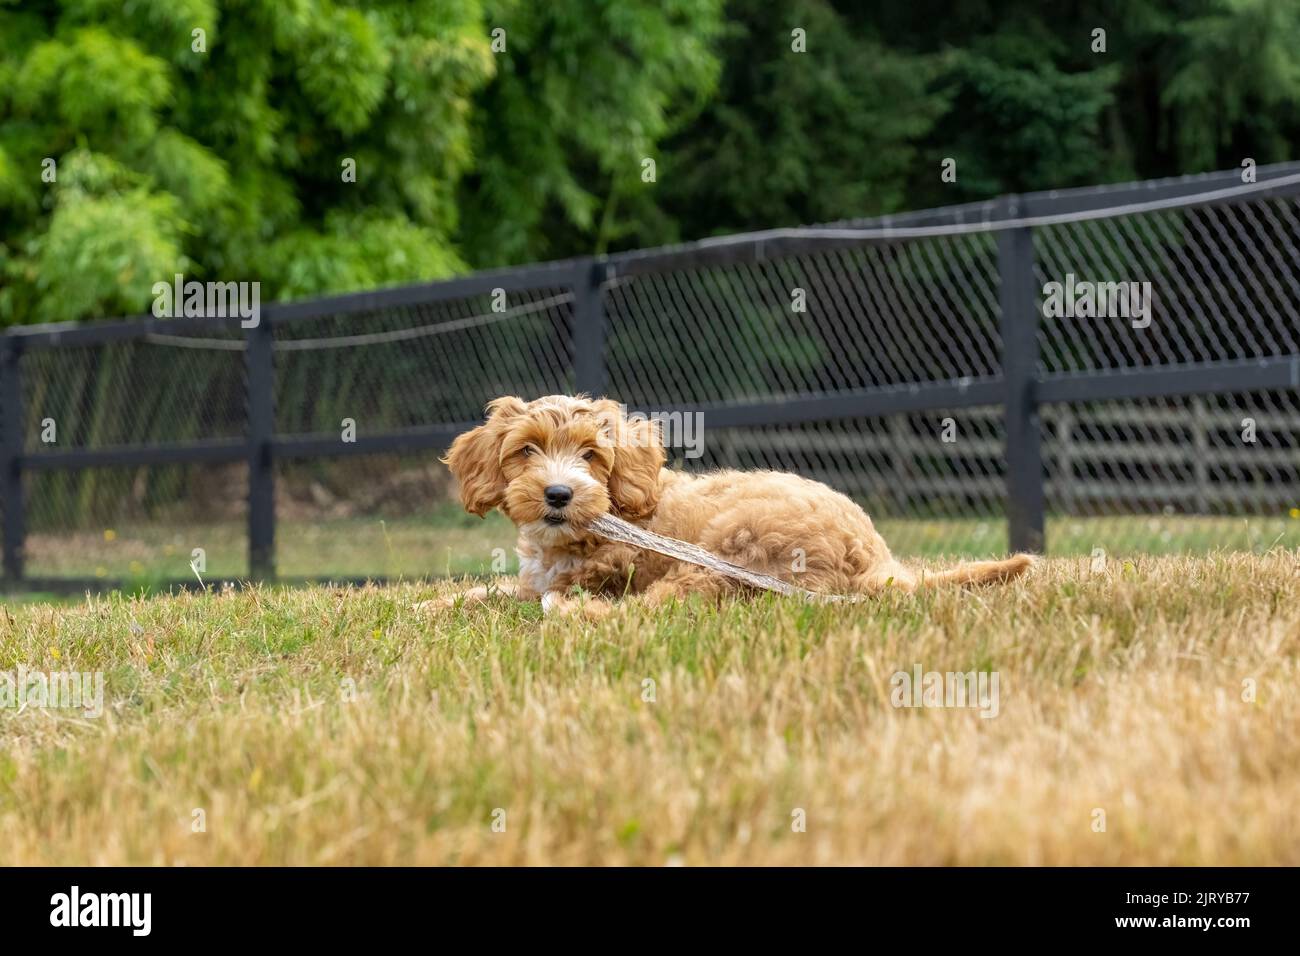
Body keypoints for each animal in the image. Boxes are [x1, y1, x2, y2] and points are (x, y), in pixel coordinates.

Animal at [441, 392, 1029, 616]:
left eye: (591, 454)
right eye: (527, 449)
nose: (558, 493)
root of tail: (880, 565)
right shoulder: (528, 580)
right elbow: (486, 591)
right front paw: (434, 605)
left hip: (730, 544)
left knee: (655, 611)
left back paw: (574, 613)